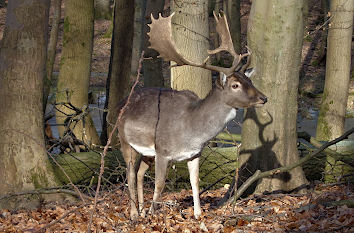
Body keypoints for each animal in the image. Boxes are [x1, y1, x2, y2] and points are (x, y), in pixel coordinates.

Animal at [117, 10, 266, 219]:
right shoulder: (162, 150)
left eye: (249, 80)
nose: (263, 98)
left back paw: (142, 211)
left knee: (139, 173)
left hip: (147, 152)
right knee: (129, 173)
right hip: (124, 140)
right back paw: (134, 214)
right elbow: (159, 184)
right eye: (235, 85)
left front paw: (197, 214)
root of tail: (121, 103)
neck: (191, 130)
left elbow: (194, 182)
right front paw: (154, 213)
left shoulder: (194, 153)